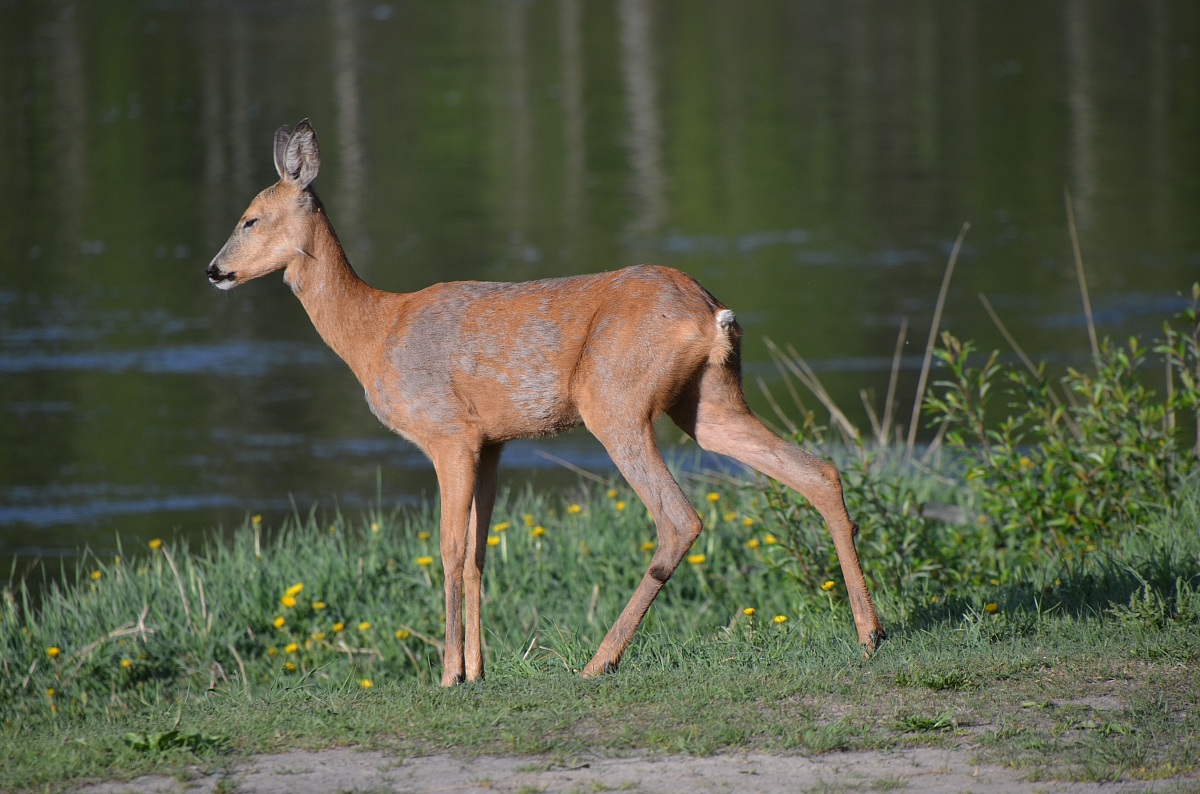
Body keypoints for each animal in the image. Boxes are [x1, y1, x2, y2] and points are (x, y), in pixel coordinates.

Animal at [205, 119, 886, 686]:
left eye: (250, 218)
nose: (213, 271)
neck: (374, 333)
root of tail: (711, 314)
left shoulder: (447, 433)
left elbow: (448, 550)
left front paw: (447, 676)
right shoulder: (492, 442)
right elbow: (478, 552)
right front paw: (477, 673)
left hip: (615, 402)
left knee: (679, 519)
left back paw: (599, 662)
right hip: (708, 403)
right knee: (816, 471)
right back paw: (870, 633)